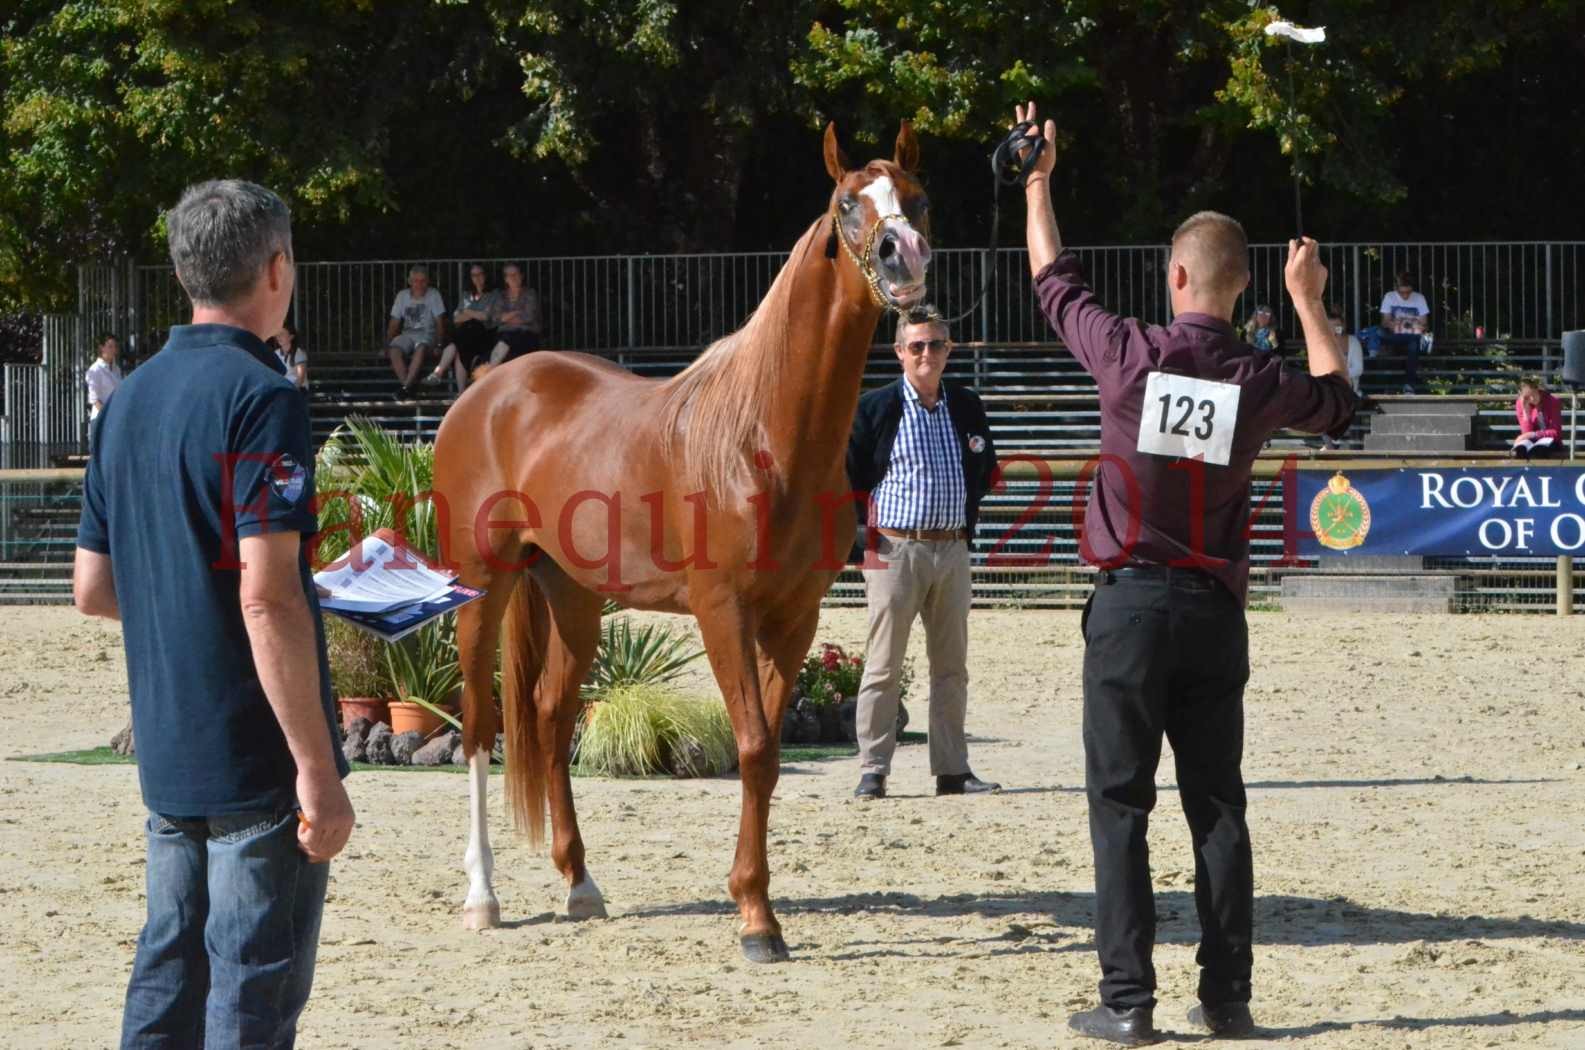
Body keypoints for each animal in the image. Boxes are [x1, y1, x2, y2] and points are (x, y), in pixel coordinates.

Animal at [431, 121, 925, 964]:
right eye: (846, 203)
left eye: (916, 198)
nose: (905, 257)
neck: (761, 433)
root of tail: (486, 393)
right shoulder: (722, 609)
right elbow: (752, 745)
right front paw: (757, 921)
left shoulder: (794, 618)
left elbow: (764, 757)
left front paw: (755, 905)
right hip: (481, 585)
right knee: (480, 724)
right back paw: (482, 896)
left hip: (572, 594)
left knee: (551, 714)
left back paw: (581, 885)